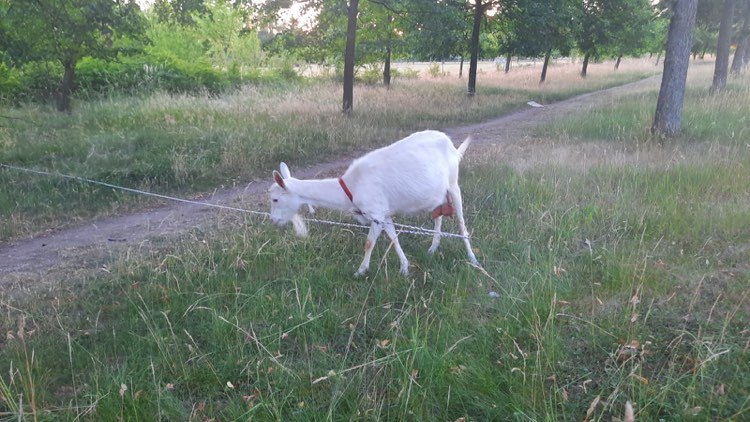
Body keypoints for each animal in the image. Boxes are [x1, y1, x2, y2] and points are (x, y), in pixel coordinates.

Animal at [272, 130, 482, 278]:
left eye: (274, 199)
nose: (273, 221)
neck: (352, 187)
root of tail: (451, 146)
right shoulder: (384, 214)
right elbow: (393, 238)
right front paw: (405, 268)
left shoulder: (376, 213)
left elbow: (369, 243)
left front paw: (360, 271)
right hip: (437, 195)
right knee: (438, 216)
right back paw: (433, 248)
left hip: (454, 186)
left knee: (461, 223)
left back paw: (473, 258)